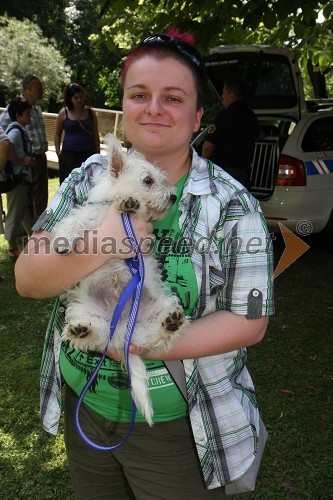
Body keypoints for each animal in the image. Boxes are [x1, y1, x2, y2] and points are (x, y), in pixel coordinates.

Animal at [50, 135, 188, 424]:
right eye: (148, 180)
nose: (172, 196)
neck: (113, 206)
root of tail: (124, 327)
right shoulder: (87, 216)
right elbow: (74, 222)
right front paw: (64, 241)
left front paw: (131, 203)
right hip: (86, 310)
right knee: (96, 335)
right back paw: (82, 330)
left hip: (156, 306)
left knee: (155, 335)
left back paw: (171, 323)